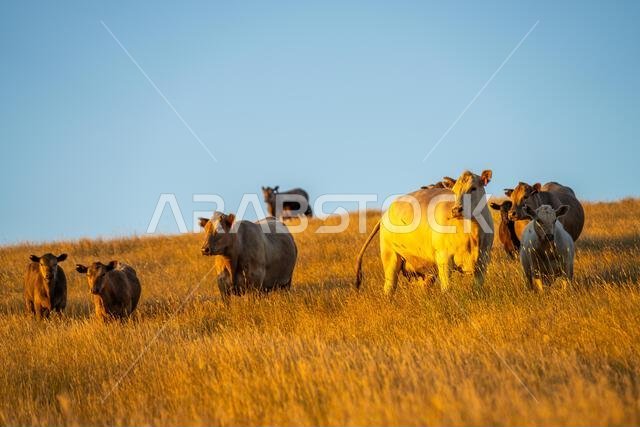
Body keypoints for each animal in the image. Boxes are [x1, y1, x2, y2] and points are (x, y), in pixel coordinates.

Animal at [355, 170, 494, 294]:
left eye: (473, 188)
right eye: (454, 191)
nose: (456, 210)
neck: (471, 234)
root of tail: (385, 214)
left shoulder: (483, 260)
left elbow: (477, 288)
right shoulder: (443, 259)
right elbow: (447, 288)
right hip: (390, 257)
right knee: (389, 288)